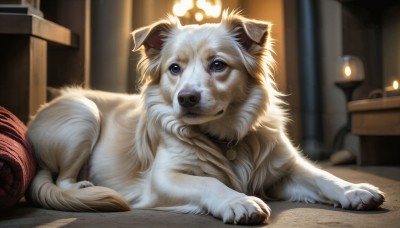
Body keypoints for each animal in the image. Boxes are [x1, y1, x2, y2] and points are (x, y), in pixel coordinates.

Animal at [27, 11, 384, 225]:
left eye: (218, 65)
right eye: (174, 68)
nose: (186, 98)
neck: (224, 137)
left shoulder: (285, 168)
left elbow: (323, 176)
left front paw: (354, 190)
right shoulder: (164, 177)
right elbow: (209, 182)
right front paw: (239, 201)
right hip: (82, 113)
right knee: (63, 180)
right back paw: (85, 186)